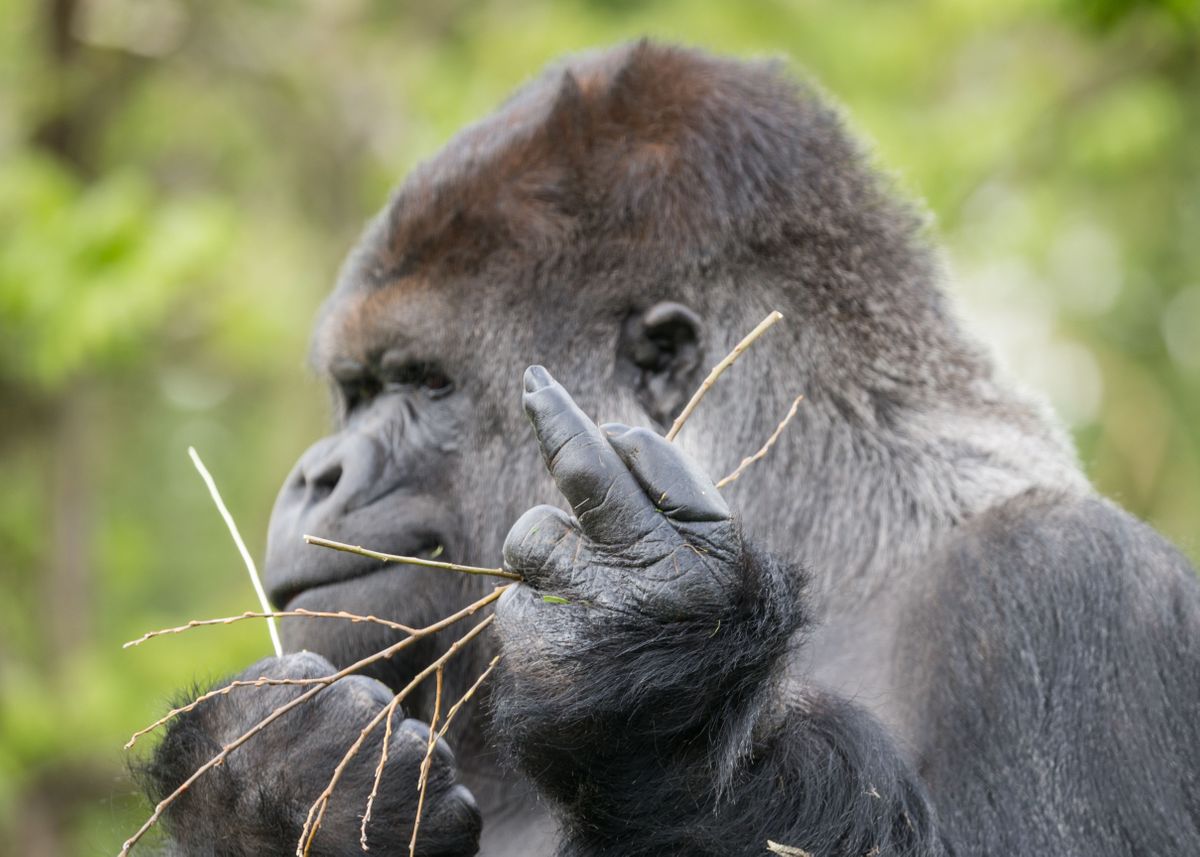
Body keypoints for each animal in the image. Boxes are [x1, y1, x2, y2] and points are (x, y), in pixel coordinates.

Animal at [142, 40, 1200, 856]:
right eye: (354, 392)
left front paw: (646, 680)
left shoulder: (1074, 583)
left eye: (422, 384)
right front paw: (264, 781)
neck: (837, 526)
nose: (315, 476)